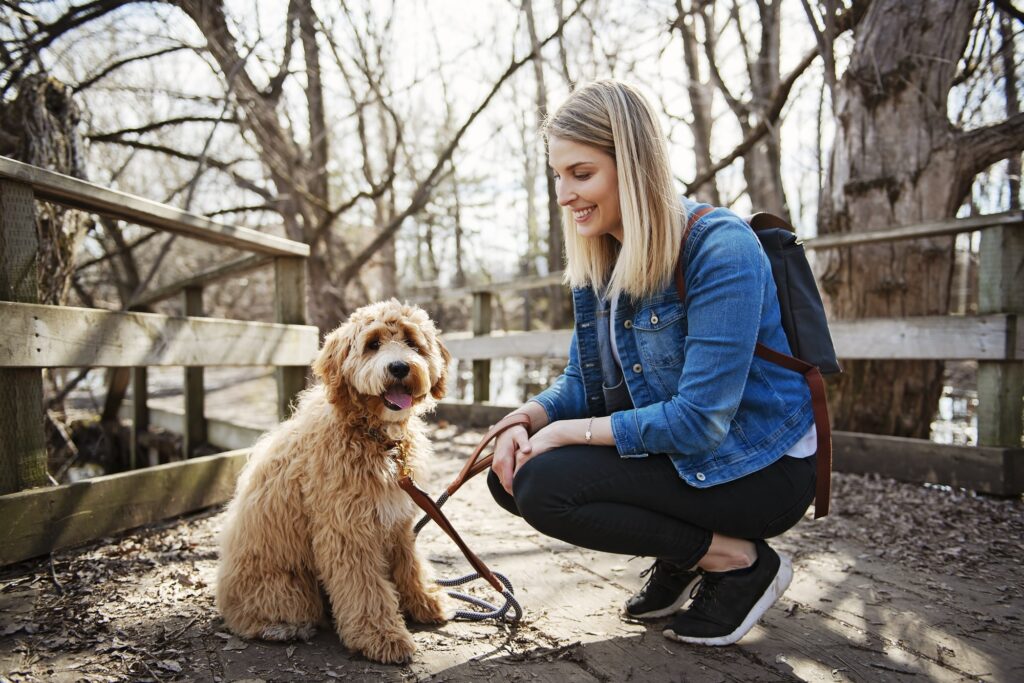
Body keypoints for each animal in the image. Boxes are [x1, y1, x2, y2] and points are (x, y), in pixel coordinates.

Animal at [216, 299, 452, 663]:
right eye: (373, 344)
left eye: (413, 343)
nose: (400, 367)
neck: (374, 437)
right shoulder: (347, 531)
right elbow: (365, 588)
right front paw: (382, 636)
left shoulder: (397, 522)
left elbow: (409, 565)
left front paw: (424, 601)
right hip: (287, 588)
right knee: (253, 615)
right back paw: (281, 627)